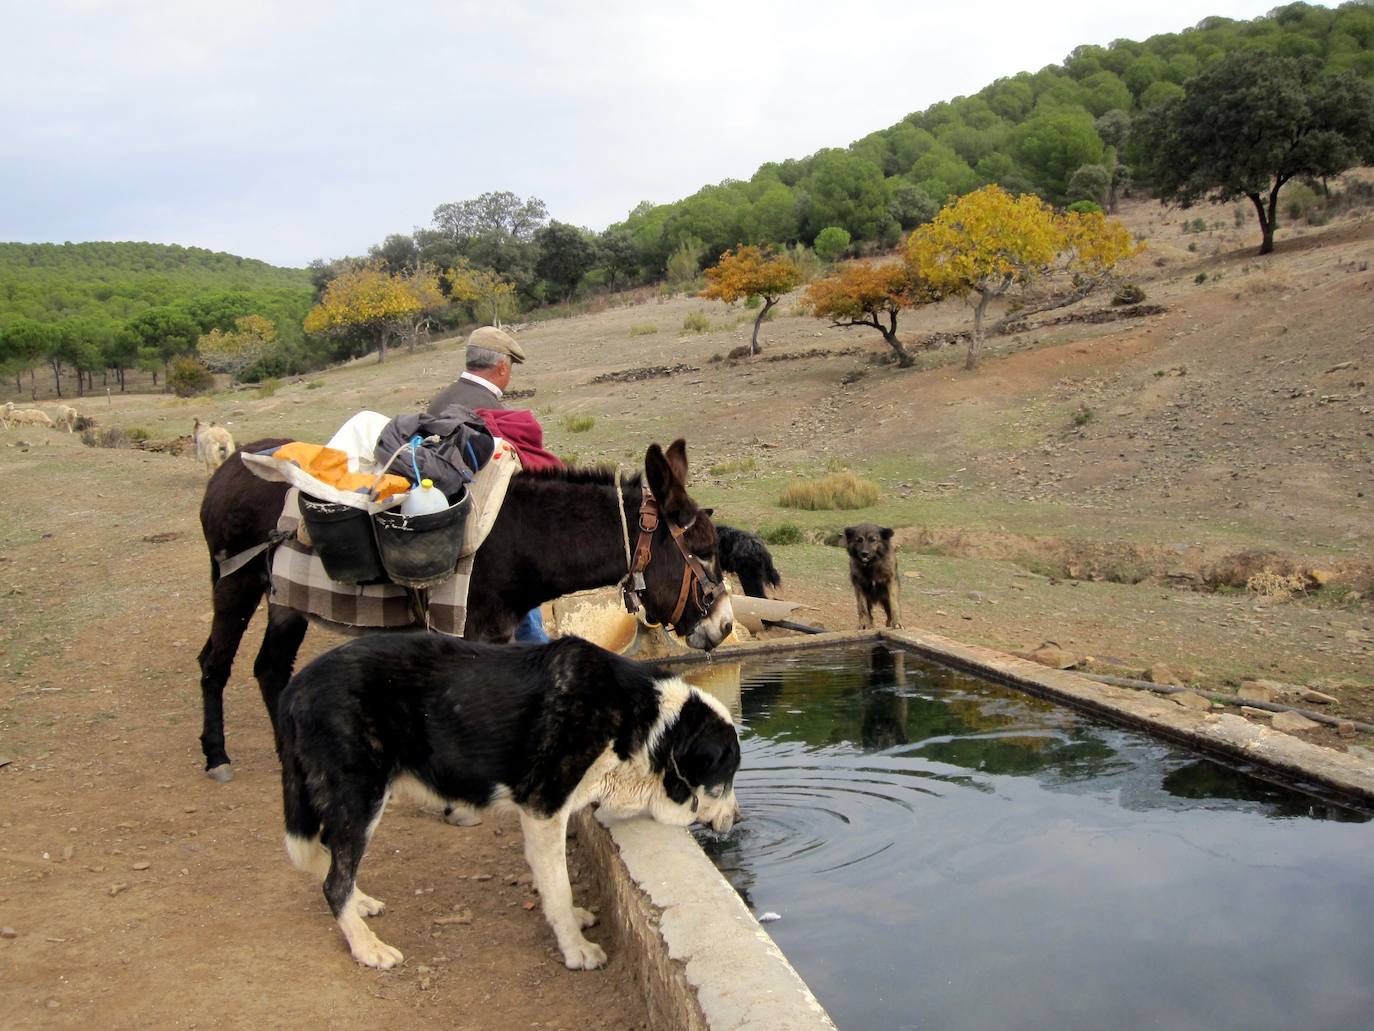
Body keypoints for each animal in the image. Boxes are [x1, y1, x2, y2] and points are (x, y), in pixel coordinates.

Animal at [276, 635, 741, 973]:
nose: (738, 819)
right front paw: (577, 949)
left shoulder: (541, 815)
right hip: (360, 797)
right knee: (333, 881)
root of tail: (295, 687)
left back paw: (361, 903)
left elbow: (550, 879)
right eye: (727, 778)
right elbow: (558, 886)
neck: (645, 724)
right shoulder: (544, 807)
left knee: (328, 860)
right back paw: (366, 947)